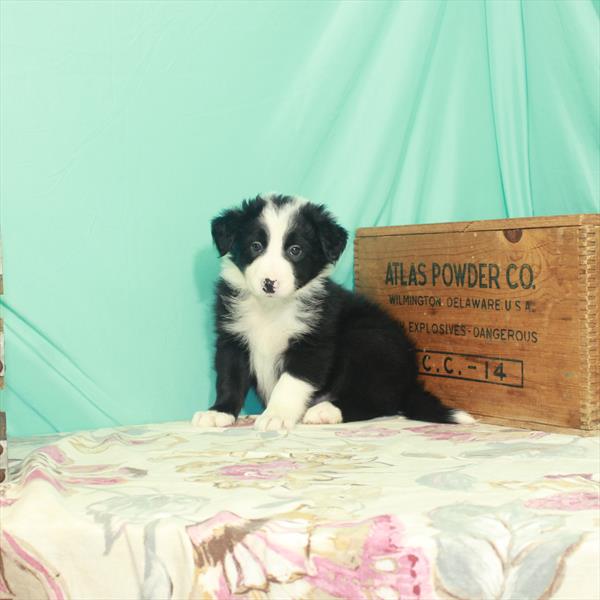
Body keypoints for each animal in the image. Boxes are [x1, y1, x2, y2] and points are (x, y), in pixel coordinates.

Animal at [192, 196, 474, 432]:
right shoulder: (233, 338)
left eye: (295, 250)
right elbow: (230, 378)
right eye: (256, 246)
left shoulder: (313, 342)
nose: (269, 283)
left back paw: (325, 410)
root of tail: (409, 380)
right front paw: (220, 412)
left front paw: (276, 415)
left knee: (379, 401)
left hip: (368, 339)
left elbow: (289, 382)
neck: (272, 308)